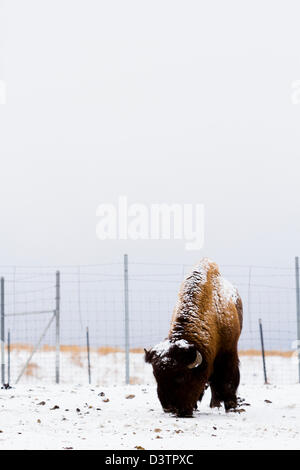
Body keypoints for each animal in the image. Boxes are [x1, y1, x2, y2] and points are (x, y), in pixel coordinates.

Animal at [144, 258, 243, 416]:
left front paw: (231, 406)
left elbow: (228, 380)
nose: (169, 408)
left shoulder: (228, 352)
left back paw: (216, 404)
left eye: (182, 376)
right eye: (156, 375)